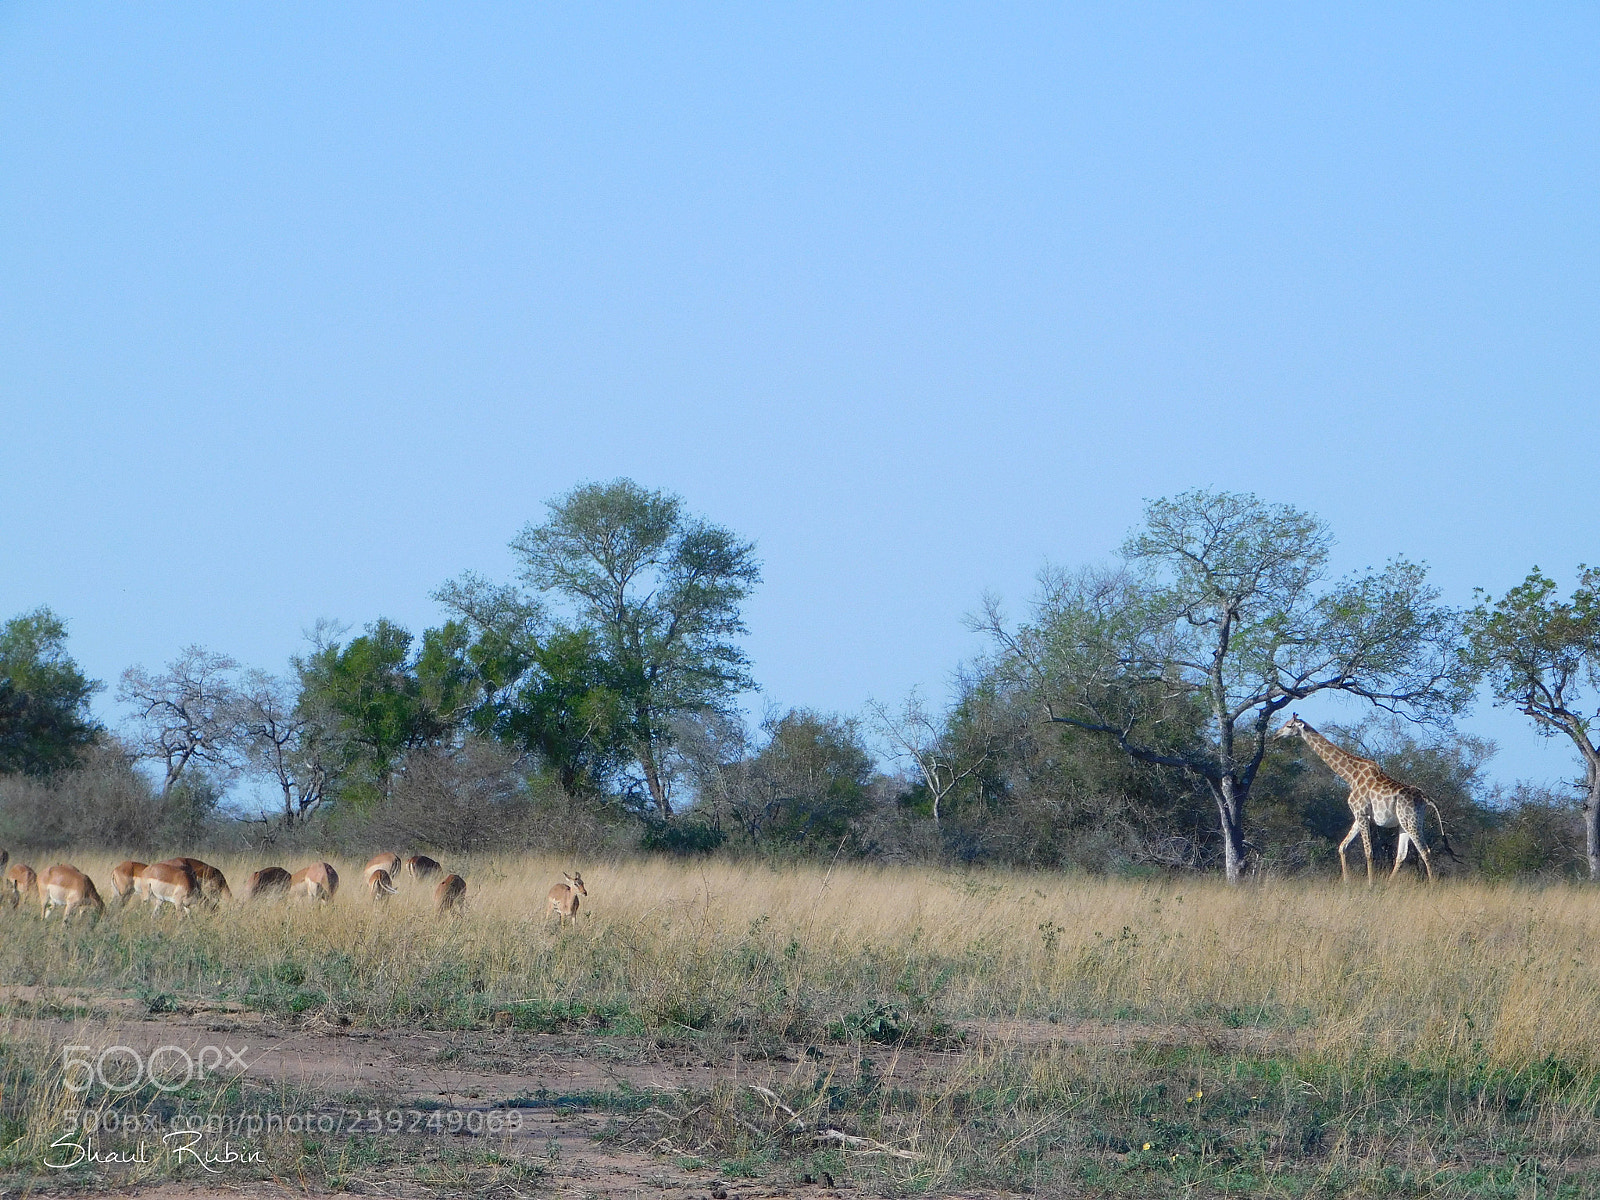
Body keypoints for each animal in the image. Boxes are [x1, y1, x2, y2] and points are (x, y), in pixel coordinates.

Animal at [1273, 713, 1440, 883]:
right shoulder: (1359, 815)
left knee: (1425, 850)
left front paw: (1370, 884)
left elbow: (1369, 852)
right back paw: (1388, 884)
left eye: (1289, 726)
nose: (1275, 735)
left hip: (1410, 820)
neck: (1350, 776)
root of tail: (1425, 798)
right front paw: (1346, 882)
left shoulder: (1362, 813)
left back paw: (1432, 884)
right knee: (1402, 854)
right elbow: (1342, 847)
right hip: (1405, 822)